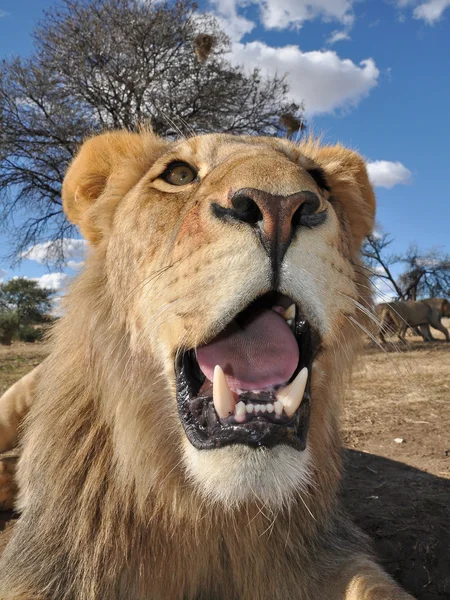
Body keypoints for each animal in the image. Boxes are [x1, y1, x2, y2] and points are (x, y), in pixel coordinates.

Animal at [0, 132, 414, 600]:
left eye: (319, 179)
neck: (216, 513)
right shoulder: (51, 565)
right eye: (179, 174)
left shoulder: (328, 552)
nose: (280, 206)